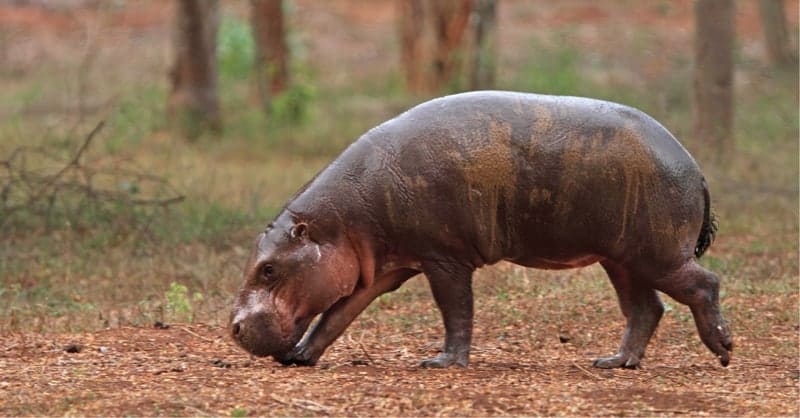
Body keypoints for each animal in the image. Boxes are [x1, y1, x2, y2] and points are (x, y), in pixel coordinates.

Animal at [230, 90, 732, 368]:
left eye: (269, 269)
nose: (232, 328)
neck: (341, 219)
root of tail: (696, 166)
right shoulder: (380, 268)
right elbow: (338, 315)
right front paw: (301, 357)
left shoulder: (444, 259)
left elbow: (456, 311)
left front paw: (442, 362)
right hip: (622, 258)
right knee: (646, 309)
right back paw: (615, 362)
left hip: (656, 252)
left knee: (704, 283)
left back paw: (723, 349)